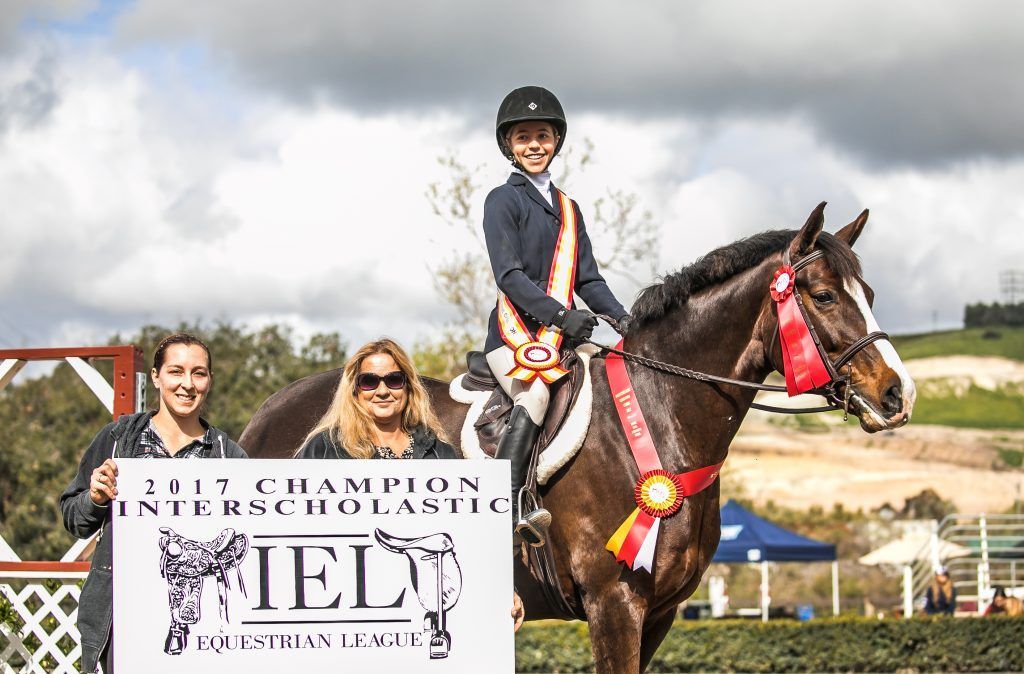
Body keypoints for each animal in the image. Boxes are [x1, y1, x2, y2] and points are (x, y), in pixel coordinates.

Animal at [241, 204, 921, 671]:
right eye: (825, 295)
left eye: (870, 294)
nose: (898, 396)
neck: (659, 417)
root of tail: (267, 410)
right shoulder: (614, 600)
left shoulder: (661, 611)